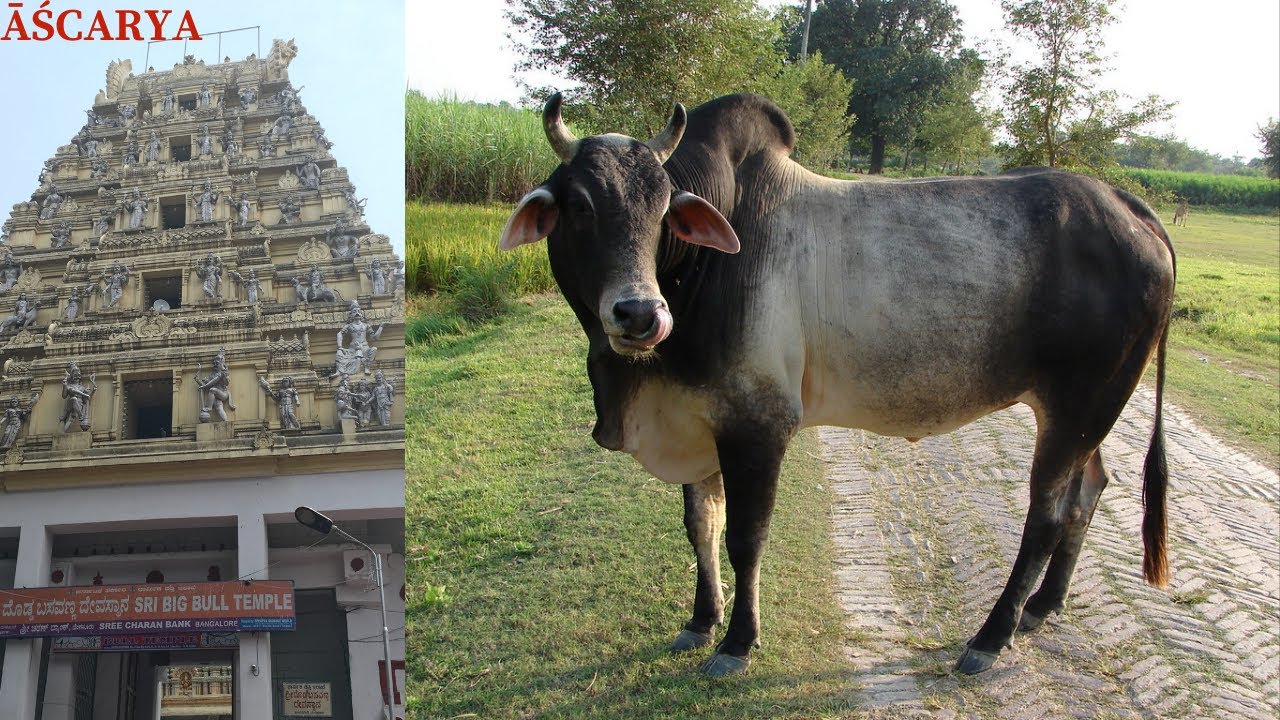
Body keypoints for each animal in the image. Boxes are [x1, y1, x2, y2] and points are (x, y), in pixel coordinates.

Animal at [499, 93, 1176, 677]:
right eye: (580, 206)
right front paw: (699, 621)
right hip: (1087, 415)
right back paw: (1042, 606)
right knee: (1088, 491)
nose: (640, 314)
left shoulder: (759, 425)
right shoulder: (699, 420)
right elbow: (701, 525)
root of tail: (1130, 208)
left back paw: (990, 637)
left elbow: (745, 537)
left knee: (1045, 516)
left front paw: (737, 643)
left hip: (1078, 408)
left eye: (664, 209)